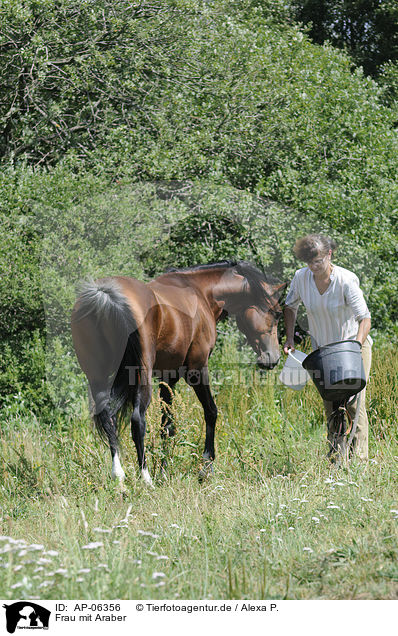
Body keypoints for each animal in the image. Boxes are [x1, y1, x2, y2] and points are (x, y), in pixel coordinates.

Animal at [71, 260, 286, 484]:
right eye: (277, 313)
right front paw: (205, 467)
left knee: (107, 417)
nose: (273, 358)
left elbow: (167, 426)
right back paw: (145, 478)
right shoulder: (197, 370)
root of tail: (104, 295)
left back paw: (119, 474)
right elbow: (211, 412)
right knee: (137, 420)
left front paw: (164, 470)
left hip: (97, 376)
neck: (201, 292)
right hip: (141, 376)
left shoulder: (168, 377)